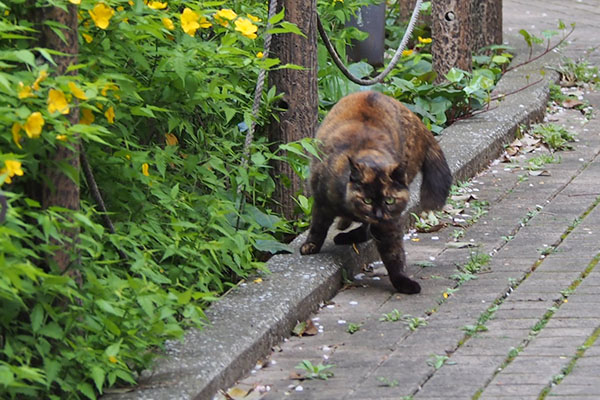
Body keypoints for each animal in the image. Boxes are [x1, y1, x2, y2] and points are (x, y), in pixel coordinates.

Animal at [300, 92, 450, 296]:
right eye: (367, 200)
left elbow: (394, 254)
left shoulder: (389, 224)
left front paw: (403, 281)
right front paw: (311, 245)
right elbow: (317, 226)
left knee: (366, 232)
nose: (378, 214)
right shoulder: (322, 202)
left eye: (389, 200)